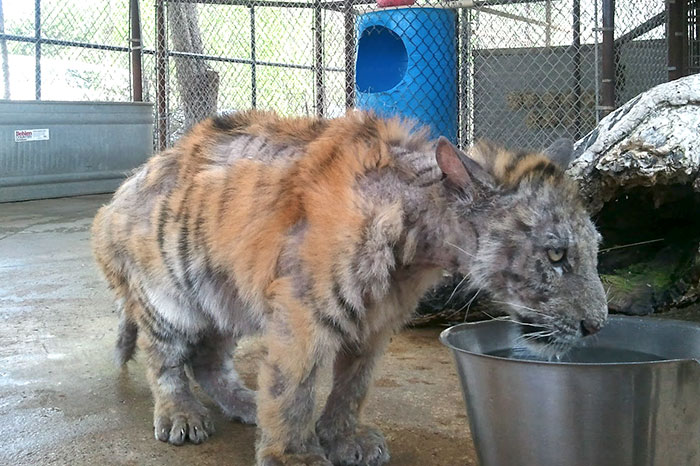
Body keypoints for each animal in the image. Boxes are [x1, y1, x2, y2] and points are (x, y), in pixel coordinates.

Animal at [91, 109, 608, 466]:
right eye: (556, 255)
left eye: (594, 248)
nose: (596, 325)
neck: (418, 243)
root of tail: (117, 197)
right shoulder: (302, 313)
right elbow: (293, 387)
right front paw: (294, 455)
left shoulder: (374, 321)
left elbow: (352, 386)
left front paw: (342, 439)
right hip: (170, 296)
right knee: (164, 358)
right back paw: (181, 416)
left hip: (226, 297)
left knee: (207, 358)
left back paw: (245, 403)